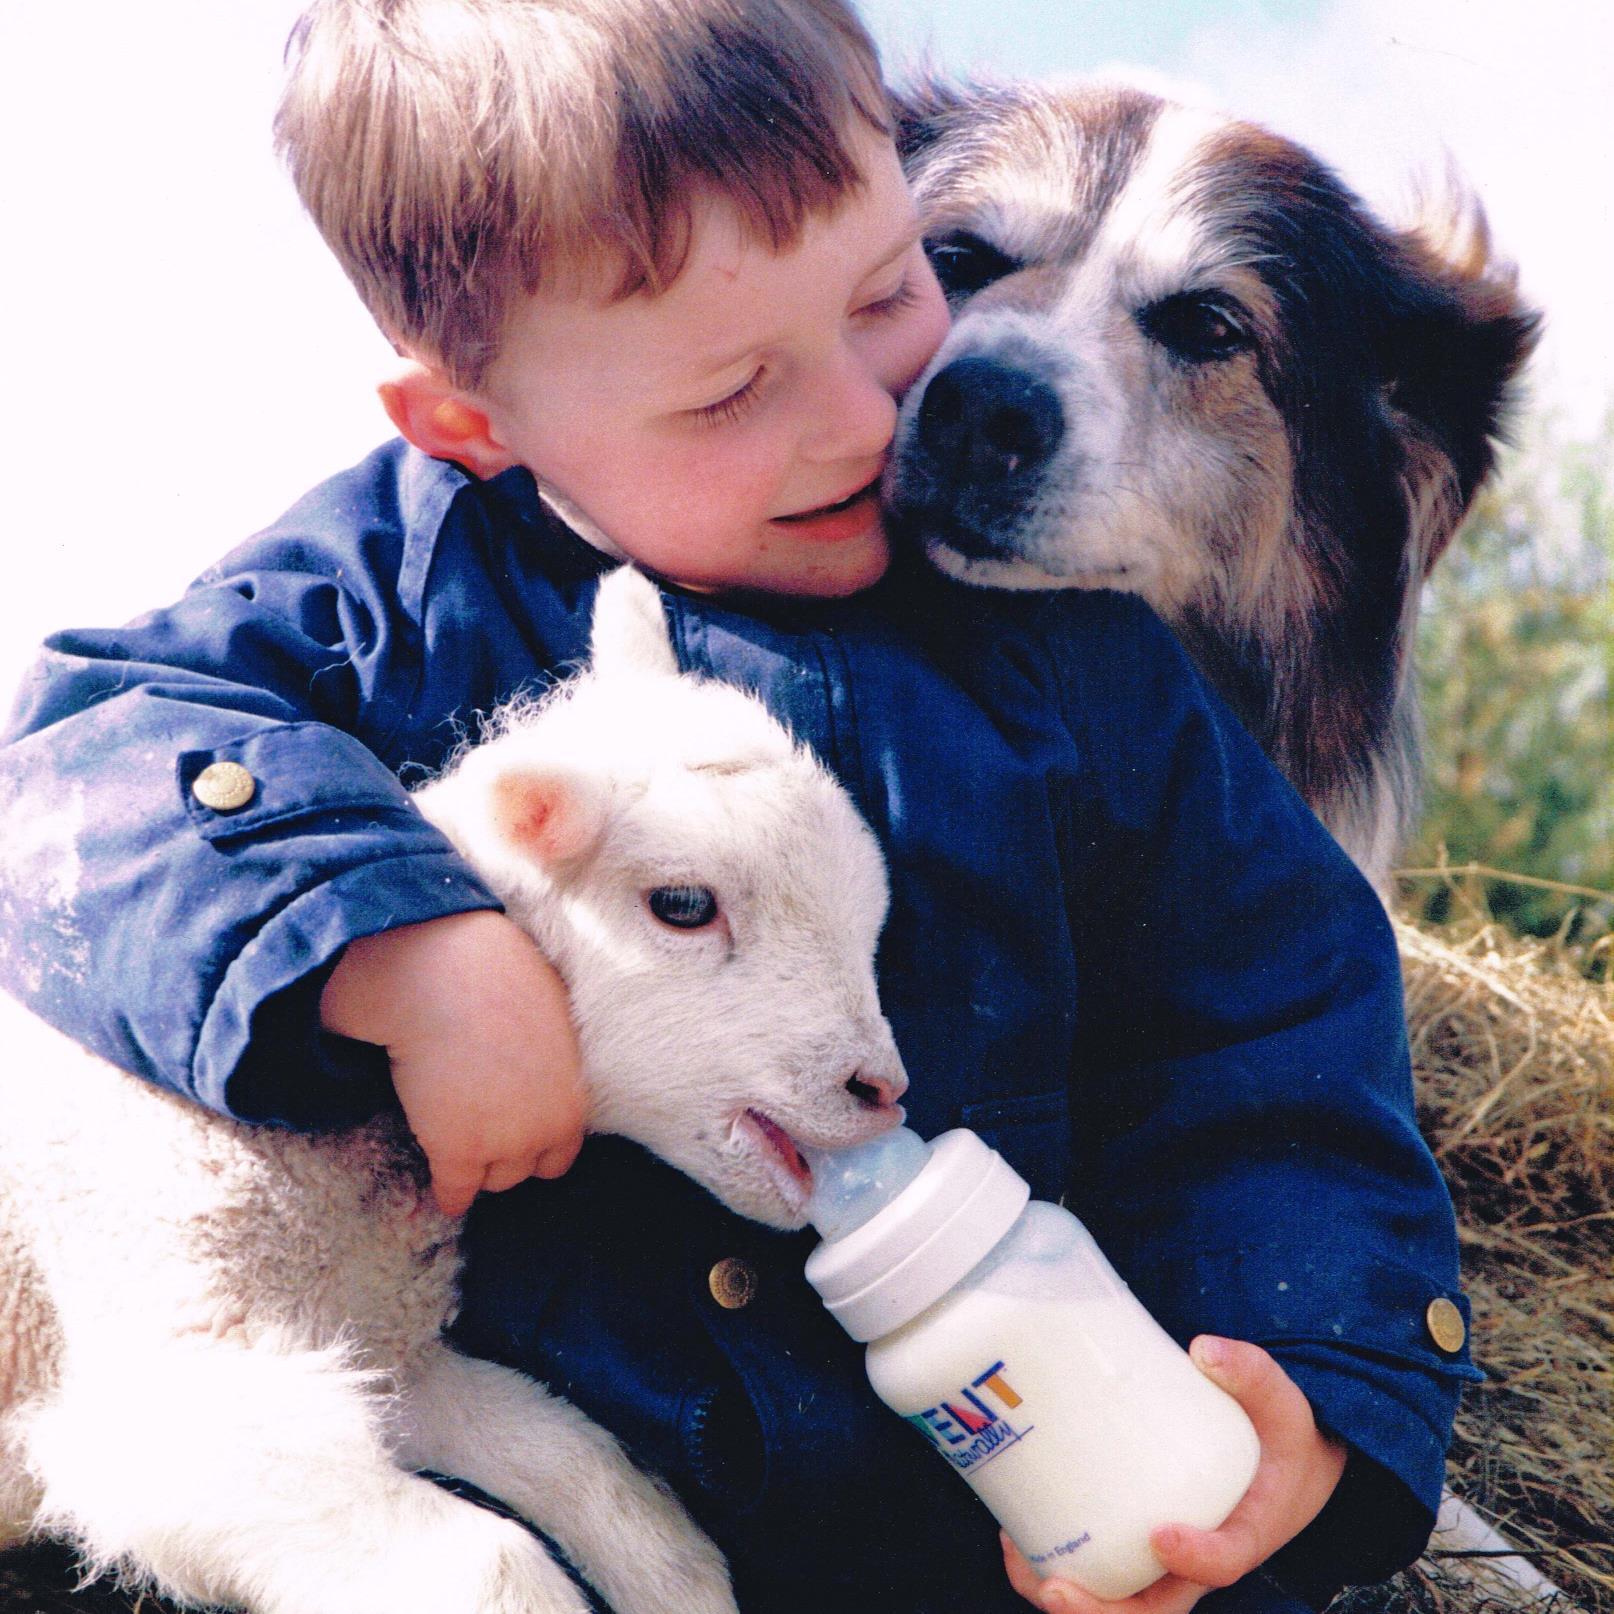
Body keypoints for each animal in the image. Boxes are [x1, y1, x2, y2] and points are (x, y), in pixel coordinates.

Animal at [0, 571, 910, 1614]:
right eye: (682, 906)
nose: (883, 1088)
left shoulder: (389, 1365)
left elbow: (611, 1492)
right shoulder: (171, 1385)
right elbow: (489, 1564)